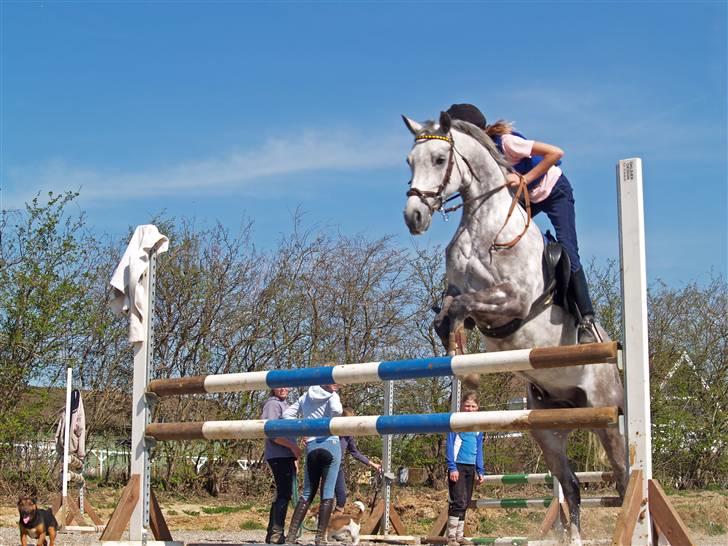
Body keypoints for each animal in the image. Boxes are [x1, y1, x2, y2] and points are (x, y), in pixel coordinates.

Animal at [400, 112, 628, 540]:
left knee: (624, 477)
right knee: (571, 484)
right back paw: (572, 538)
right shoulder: (460, 294)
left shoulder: (513, 301)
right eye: (409, 161)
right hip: (546, 426)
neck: (483, 225)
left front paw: (465, 368)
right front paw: (461, 365)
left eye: (439, 159)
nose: (414, 217)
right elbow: (446, 314)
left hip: (604, 414)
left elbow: (465, 306)